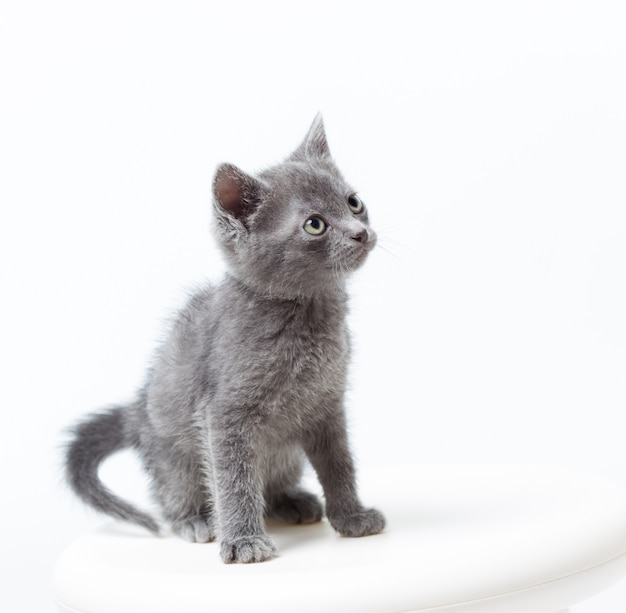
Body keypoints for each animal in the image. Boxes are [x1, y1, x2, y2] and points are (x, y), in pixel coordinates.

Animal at [66, 112, 382, 560]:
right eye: (314, 225)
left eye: (353, 202)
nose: (360, 232)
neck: (309, 318)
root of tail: (135, 414)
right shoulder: (225, 412)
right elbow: (234, 478)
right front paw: (244, 541)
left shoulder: (327, 405)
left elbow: (339, 463)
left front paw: (352, 517)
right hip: (174, 455)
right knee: (173, 494)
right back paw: (196, 520)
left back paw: (291, 501)